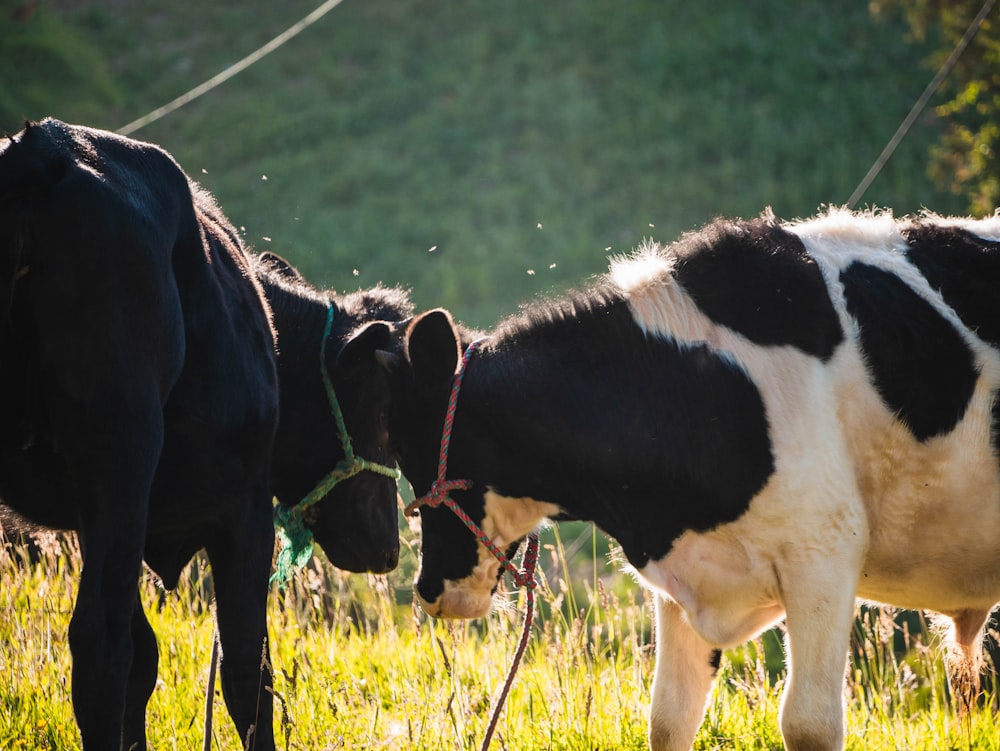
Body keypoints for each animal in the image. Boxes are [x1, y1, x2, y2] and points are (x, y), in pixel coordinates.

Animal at [0, 117, 408, 751]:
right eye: (384, 415)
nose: (391, 545)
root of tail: (40, 155)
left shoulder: (106, 521)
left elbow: (147, 658)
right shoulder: (242, 510)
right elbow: (248, 668)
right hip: (122, 447)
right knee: (100, 643)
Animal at [384, 209, 1000, 751]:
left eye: (424, 457)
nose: (429, 591)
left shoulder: (824, 555)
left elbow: (808, 724)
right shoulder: (684, 578)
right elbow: (669, 718)